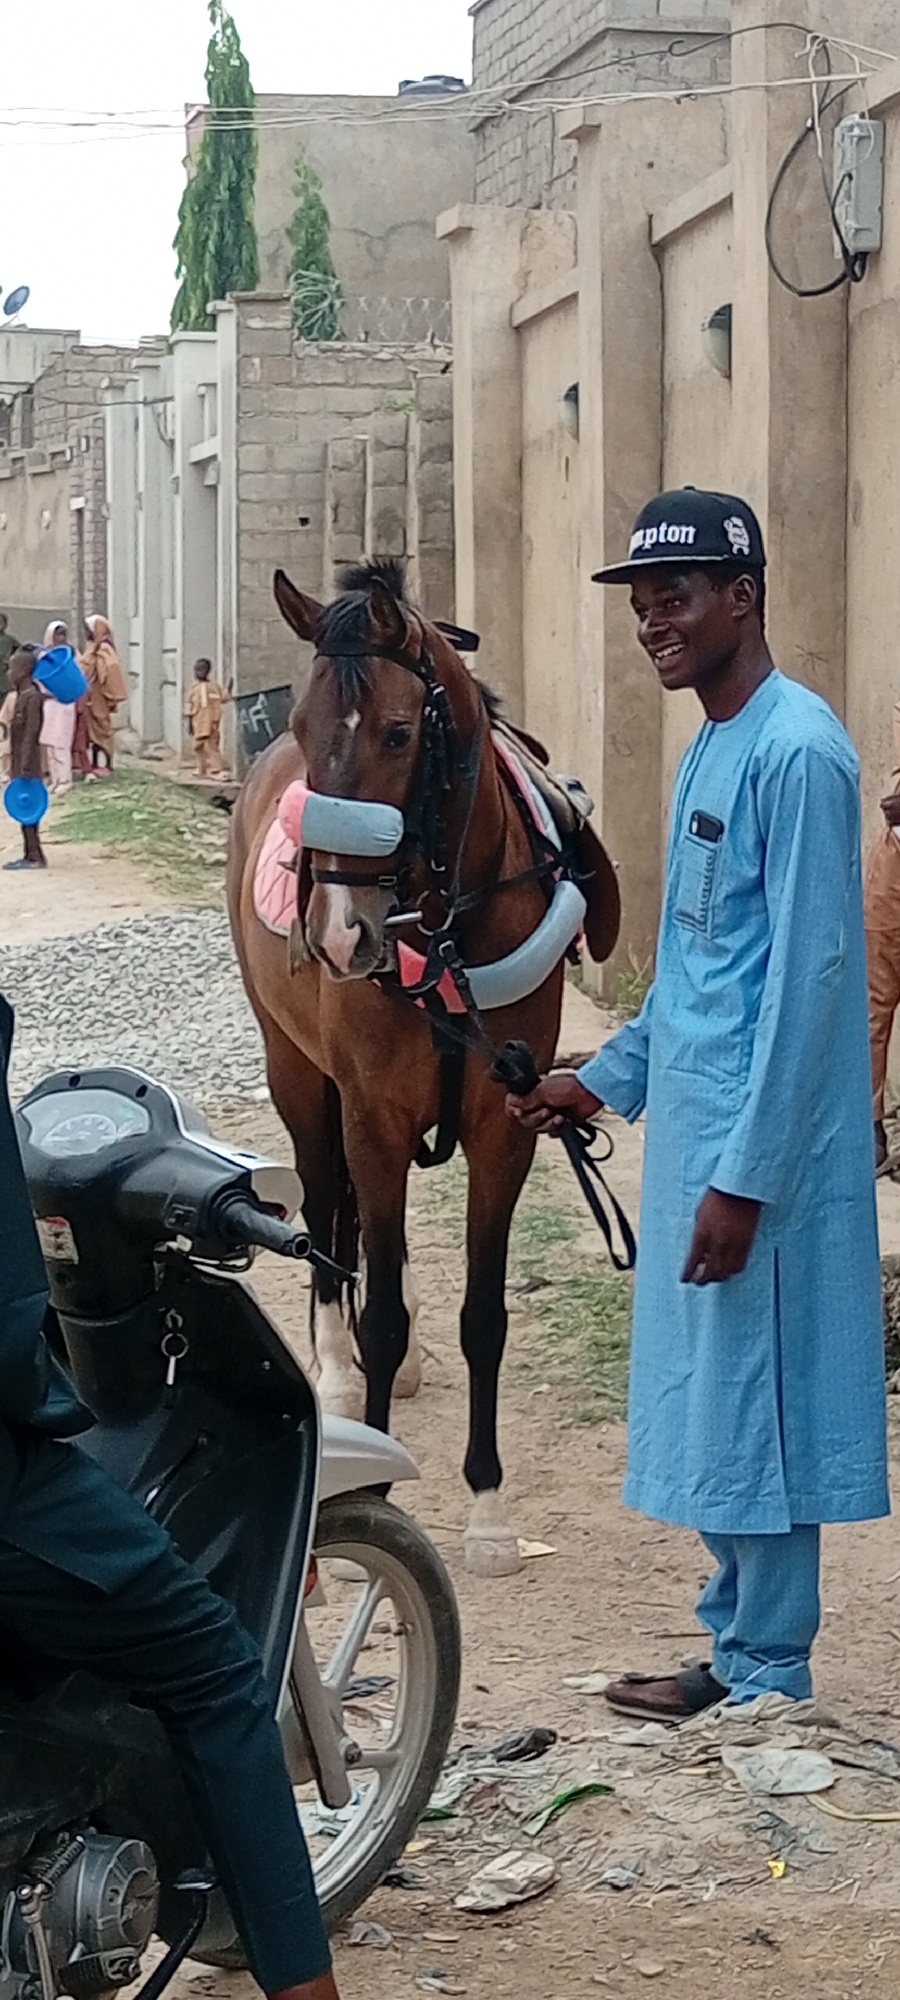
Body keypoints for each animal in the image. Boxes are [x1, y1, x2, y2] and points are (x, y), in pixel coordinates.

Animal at [227, 561, 620, 1575]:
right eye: (301, 728)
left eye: (399, 734)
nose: (338, 935)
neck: (443, 926)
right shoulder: (371, 1114)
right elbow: (384, 1304)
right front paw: (369, 1480)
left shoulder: (504, 1124)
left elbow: (484, 1316)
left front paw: (486, 1512)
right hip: (295, 1072)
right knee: (324, 1200)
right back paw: (336, 1372)